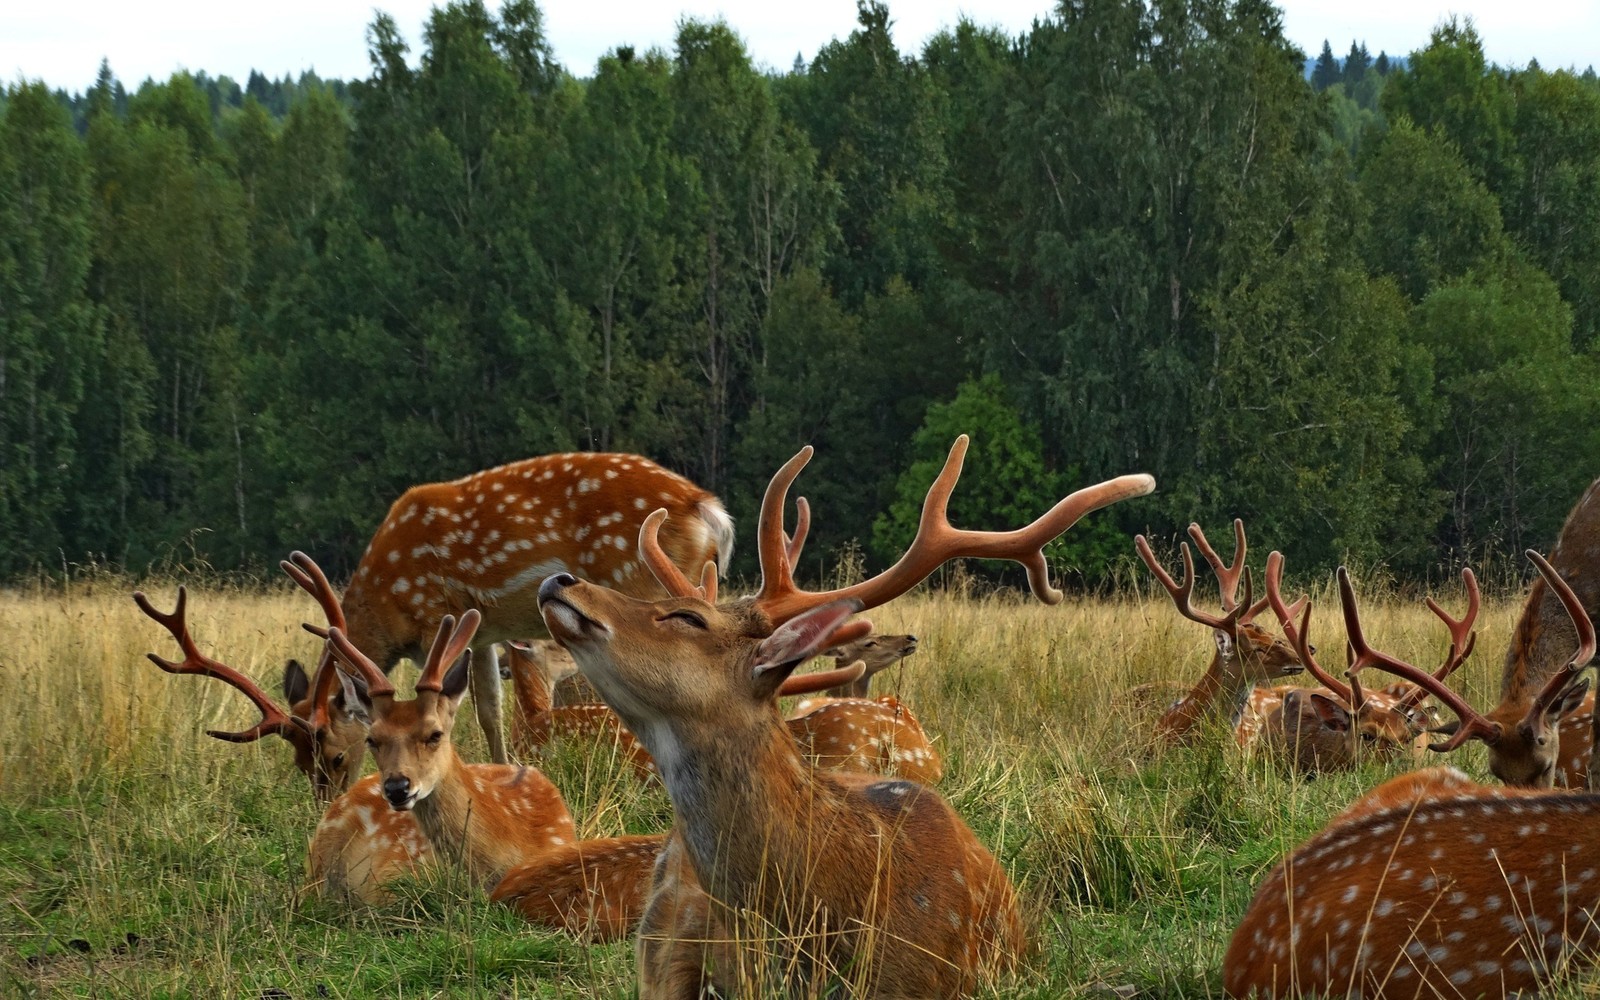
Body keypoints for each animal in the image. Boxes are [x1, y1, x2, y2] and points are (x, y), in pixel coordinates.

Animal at [302, 451, 732, 764]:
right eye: (297, 754)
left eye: (330, 751)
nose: (324, 801)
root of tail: (709, 510)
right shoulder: (482, 633)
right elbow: (490, 709)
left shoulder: (440, 619)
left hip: (640, 580)